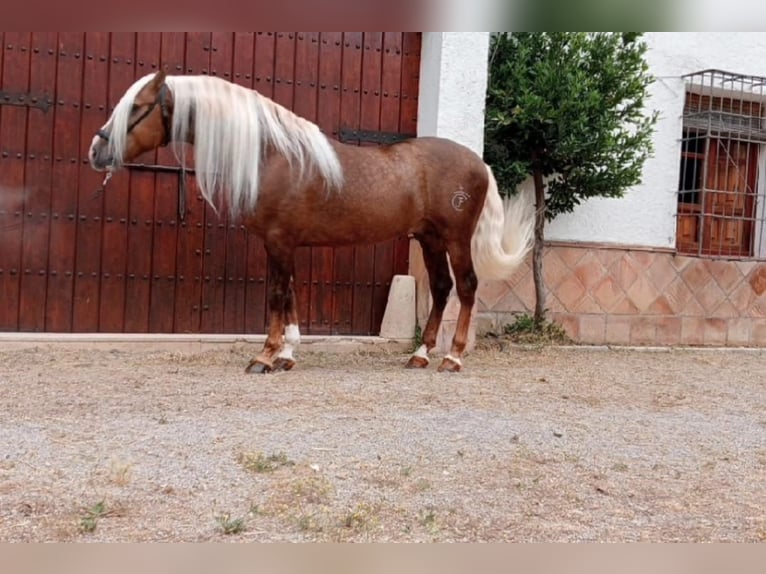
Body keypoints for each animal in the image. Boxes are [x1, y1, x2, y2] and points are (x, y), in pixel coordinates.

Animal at [88, 70, 536, 376]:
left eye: (137, 108)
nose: (96, 150)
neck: (273, 154)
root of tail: (478, 162)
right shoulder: (281, 243)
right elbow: (290, 295)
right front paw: (287, 354)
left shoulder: (278, 241)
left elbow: (276, 295)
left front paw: (265, 356)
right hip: (429, 239)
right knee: (441, 289)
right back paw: (420, 355)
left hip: (456, 239)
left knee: (467, 287)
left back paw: (453, 357)